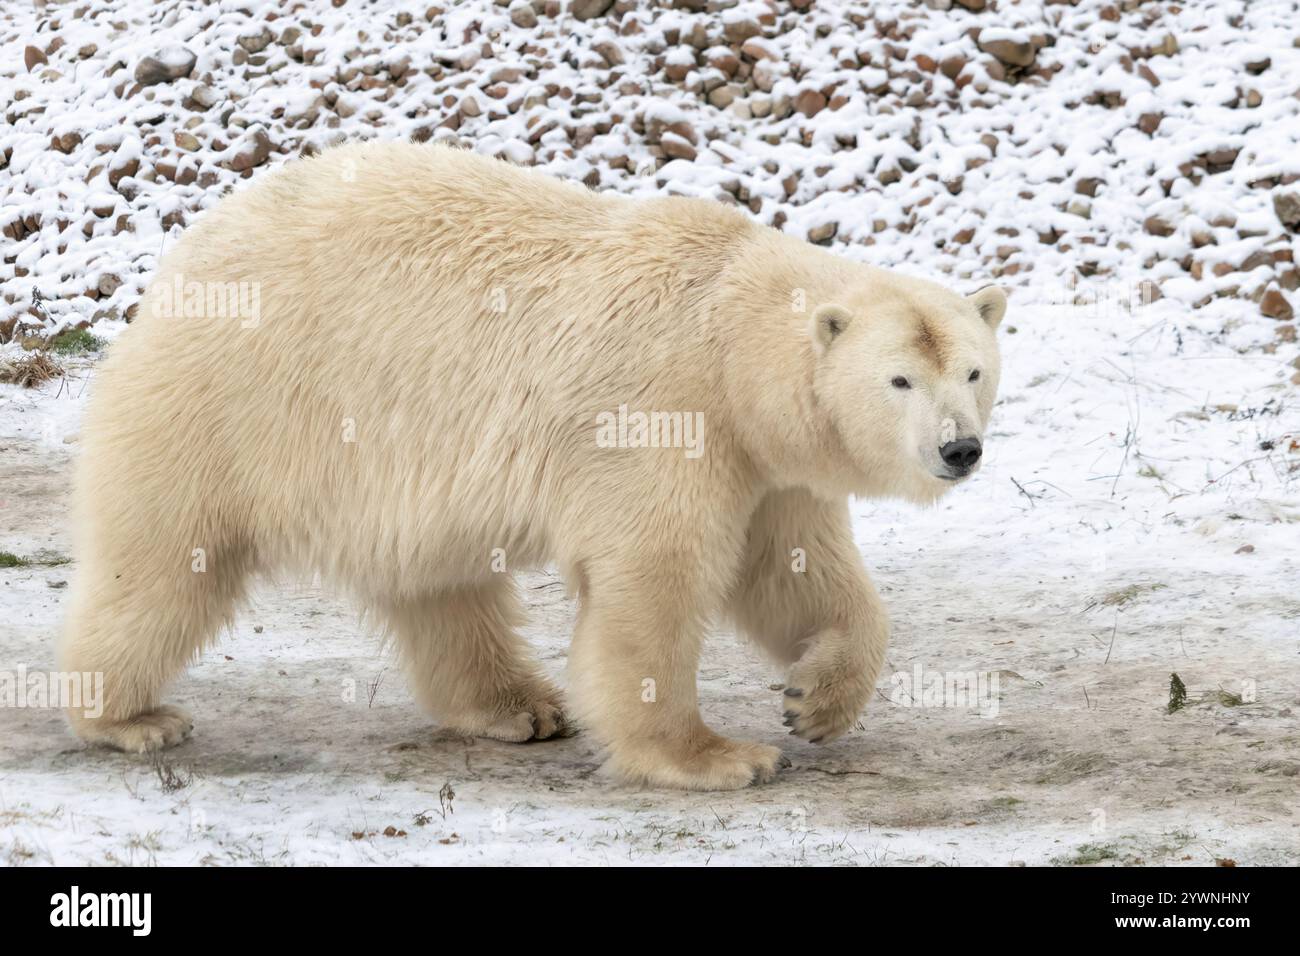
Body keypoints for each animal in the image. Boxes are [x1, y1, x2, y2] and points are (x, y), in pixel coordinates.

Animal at [61, 138, 1003, 790]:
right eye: (899, 378)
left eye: (972, 370)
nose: (959, 447)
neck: (721, 329)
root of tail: (178, 264)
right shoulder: (663, 413)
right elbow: (658, 579)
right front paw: (718, 756)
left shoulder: (767, 462)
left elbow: (796, 570)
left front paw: (816, 701)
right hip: (231, 407)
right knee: (164, 565)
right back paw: (127, 716)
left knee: (441, 585)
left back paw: (519, 707)